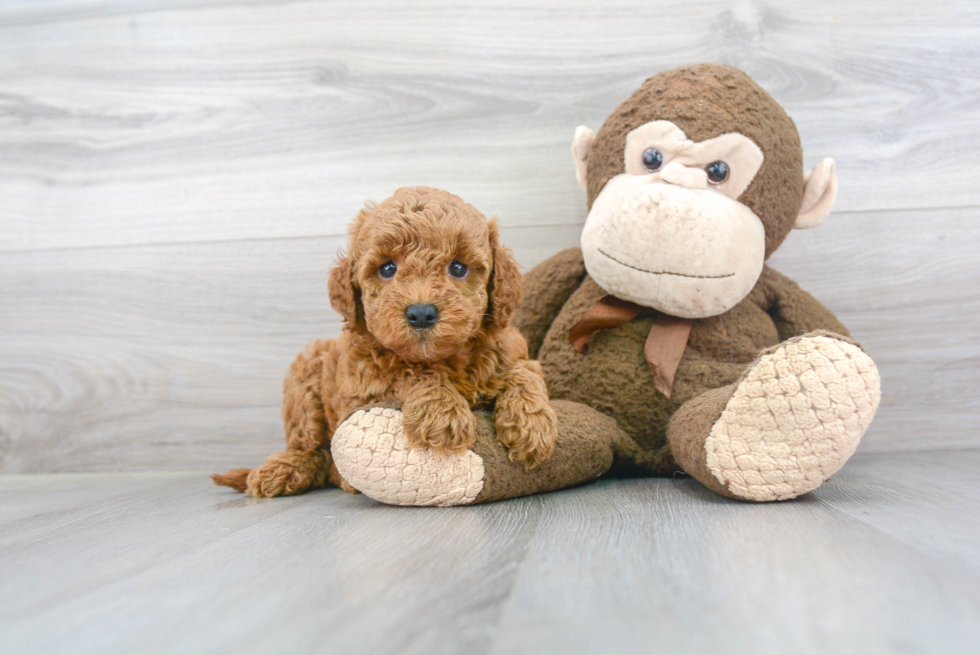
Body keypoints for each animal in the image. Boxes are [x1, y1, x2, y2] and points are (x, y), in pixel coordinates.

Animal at [214, 186, 560, 498]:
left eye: (458, 267)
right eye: (388, 268)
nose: (421, 313)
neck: (444, 358)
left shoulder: (510, 351)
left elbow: (524, 372)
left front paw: (532, 426)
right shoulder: (363, 389)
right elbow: (409, 373)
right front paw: (442, 412)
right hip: (307, 373)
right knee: (311, 449)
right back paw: (284, 472)